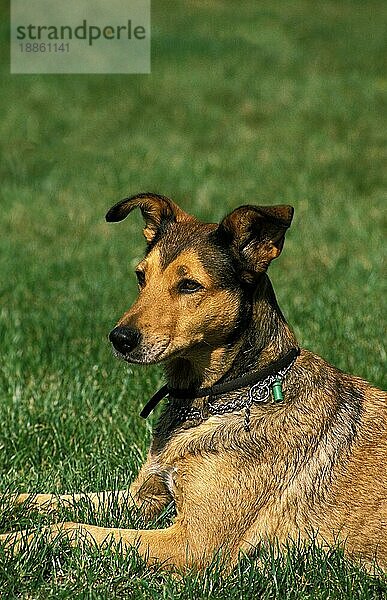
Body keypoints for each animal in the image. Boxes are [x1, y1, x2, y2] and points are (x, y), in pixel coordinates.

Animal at [0, 193, 387, 572]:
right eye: (140, 277)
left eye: (189, 285)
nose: (119, 339)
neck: (229, 392)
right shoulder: (143, 495)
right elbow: (57, 498)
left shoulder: (193, 542)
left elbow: (71, 528)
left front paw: (13, 541)